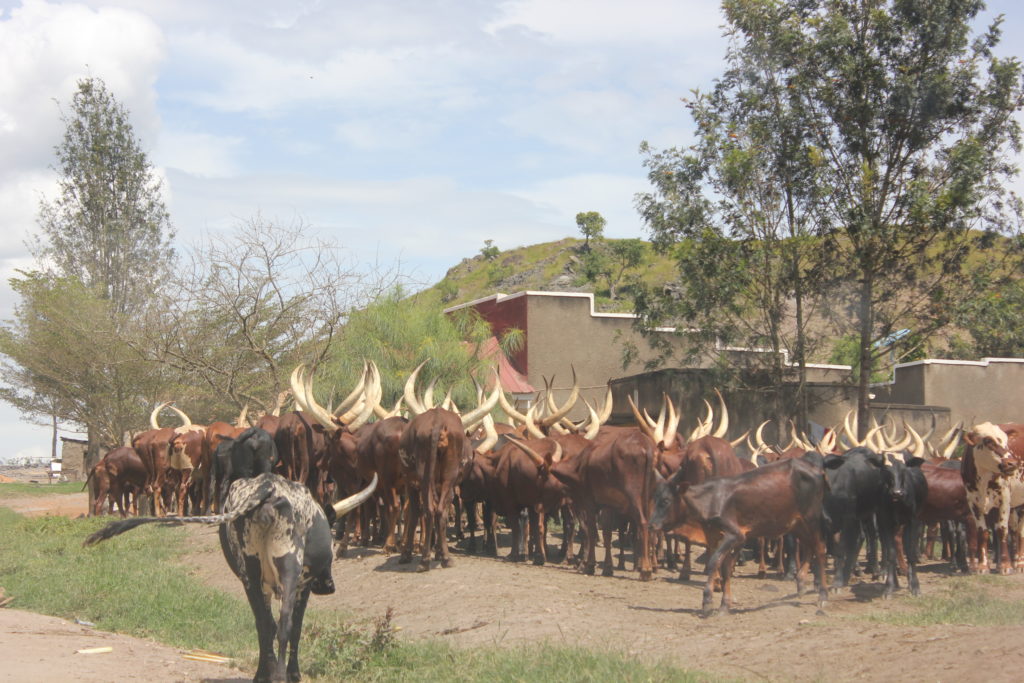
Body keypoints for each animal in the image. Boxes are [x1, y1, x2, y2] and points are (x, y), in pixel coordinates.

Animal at [87, 473, 376, 679]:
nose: (329, 586)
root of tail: (267, 487)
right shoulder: (303, 586)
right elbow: (295, 629)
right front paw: (294, 674)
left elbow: (266, 625)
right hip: (289, 566)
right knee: (284, 624)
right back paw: (280, 676)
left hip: (249, 573)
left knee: (265, 624)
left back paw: (263, 675)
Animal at [651, 456, 827, 618]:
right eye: (655, 498)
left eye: (666, 501)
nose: (651, 525)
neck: (710, 500)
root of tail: (816, 469)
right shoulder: (733, 539)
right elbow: (726, 568)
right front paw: (724, 605)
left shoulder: (734, 534)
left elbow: (714, 562)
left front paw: (707, 602)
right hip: (796, 524)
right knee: (809, 547)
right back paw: (802, 583)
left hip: (811, 518)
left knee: (819, 549)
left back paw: (823, 595)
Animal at [958, 423, 1024, 573]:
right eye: (988, 441)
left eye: (1006, 442)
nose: (1012, 463)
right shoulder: (973, 503)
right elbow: (983, 532)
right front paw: (982, 565)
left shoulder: (1004, 499)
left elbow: (1001, 530)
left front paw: (1004, 565)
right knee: (1014, 530)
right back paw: (1015, 561)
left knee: (1020, 532)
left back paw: (1020, 563)